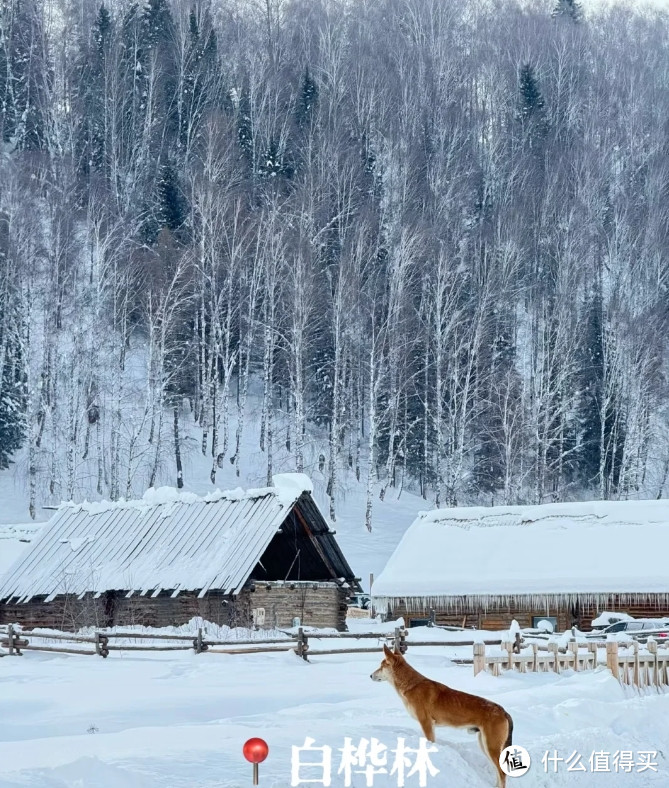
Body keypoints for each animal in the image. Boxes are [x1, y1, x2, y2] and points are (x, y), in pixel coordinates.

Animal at [370, 644, 512, 784]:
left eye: (381, 666)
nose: (370, 676)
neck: (411, 685)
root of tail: (504, 711)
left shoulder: (426, 722)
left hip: (490, 747)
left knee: (502, 773)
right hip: (484, 744)